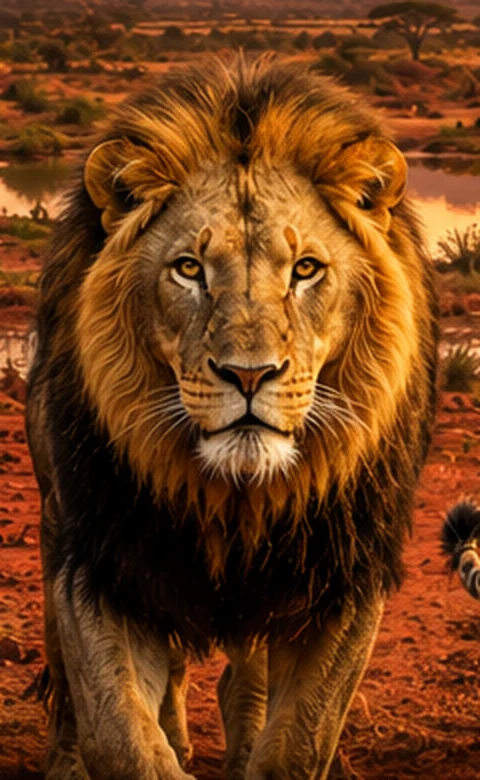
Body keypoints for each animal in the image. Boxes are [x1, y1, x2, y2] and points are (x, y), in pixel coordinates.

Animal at [26, 55, 438, 780]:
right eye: (189, 269)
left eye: (306, 269)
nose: (249, 376)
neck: (236, 496)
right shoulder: (102, 559)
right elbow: (118, 733)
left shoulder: (345, 581)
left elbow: (299, 742)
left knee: (240, 677)